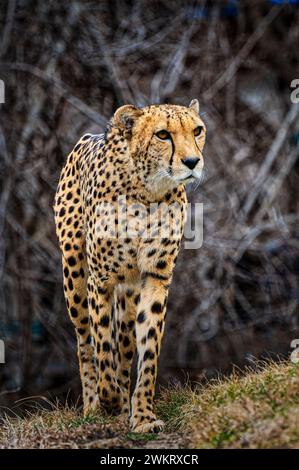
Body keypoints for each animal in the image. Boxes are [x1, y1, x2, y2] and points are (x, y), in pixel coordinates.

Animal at [54, 100, 206, 434]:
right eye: (162, 134)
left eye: (197, 130)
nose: (192, 162)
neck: (147, 190)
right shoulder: (101, 279)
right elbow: (101, 344)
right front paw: (108, 398)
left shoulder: (155, 277)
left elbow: (147, 349)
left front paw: (143, 416)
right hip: (74, 272)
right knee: (85, 341)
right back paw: (94, 405)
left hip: (130, 288)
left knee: (123, 346)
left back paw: (123, 402)